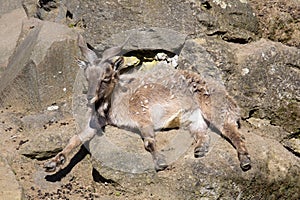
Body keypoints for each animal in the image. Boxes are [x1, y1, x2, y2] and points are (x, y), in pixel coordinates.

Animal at [44, 34, 251, 172]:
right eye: (87, 77)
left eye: (106, 78)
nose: (89, 98)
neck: (115, 104)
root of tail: (232, 101)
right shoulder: (98, 122)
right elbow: (76, 138)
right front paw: (52, 163)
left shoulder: (142, 115)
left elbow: (149, 141)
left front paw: (160, 161)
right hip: (192, 119)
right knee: (203, 132)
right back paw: (200, 149)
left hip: (214, 108)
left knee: (233, 132)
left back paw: (245, 160)